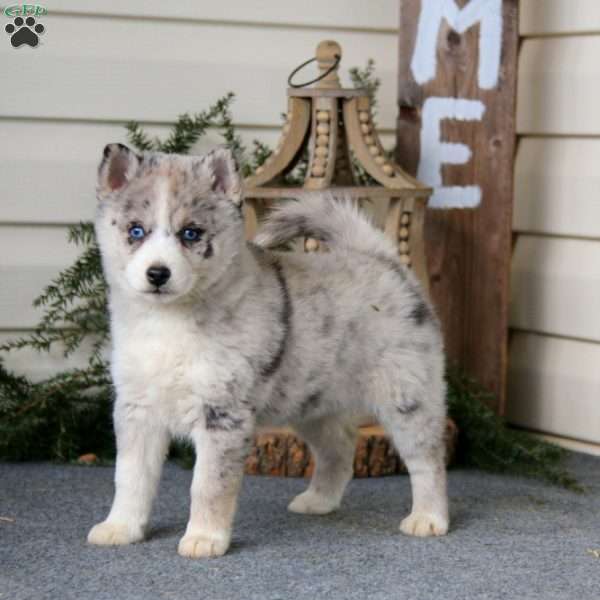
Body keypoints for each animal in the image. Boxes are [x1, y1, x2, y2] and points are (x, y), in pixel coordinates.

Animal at [86, 144, 448, 556]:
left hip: (406, 396)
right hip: (312, 403)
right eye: (136, 231)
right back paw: (319, 501)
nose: (158, 274)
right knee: (340, 448)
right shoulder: (136, 409)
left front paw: (204, 538)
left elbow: (208, 485)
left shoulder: (222, 413)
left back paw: (429, 518)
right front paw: (121, 527)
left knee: (428, 460)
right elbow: (130, 478)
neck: (169, 322)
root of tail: (382, 260)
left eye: (191, 233)